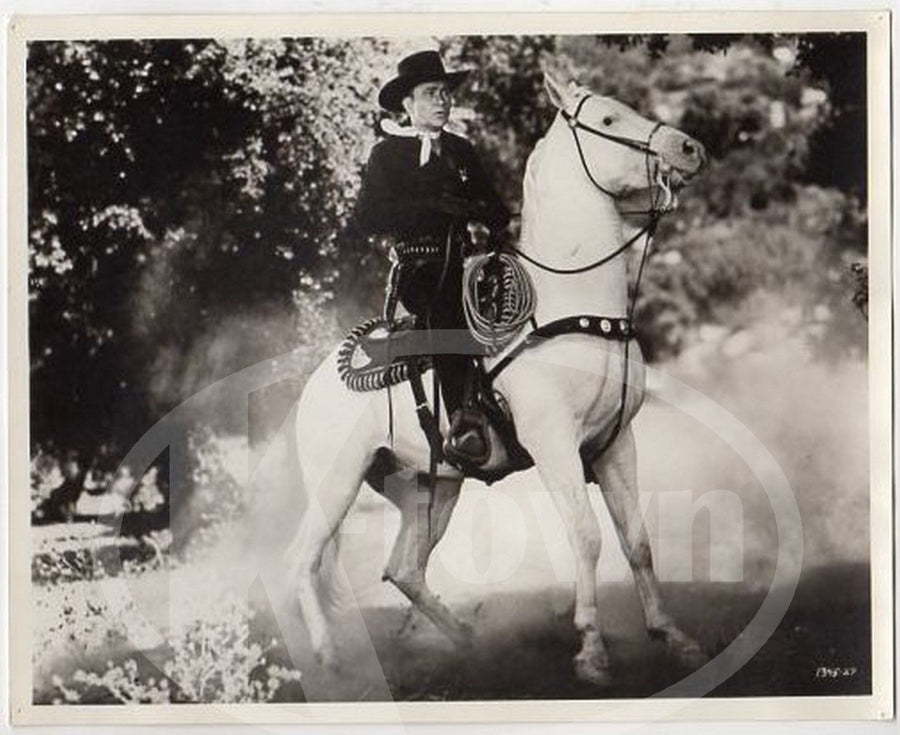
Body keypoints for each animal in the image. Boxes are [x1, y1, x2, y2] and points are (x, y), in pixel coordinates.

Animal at [284, 70, 708, 684]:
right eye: (607, 119)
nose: (689, 148)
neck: (570, 303)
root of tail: (316, 382)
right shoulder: (554, 444)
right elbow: (586, 536)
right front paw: (591, 650)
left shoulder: (616, 444)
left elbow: (638, 541)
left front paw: (673, 637)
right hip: (335, 482)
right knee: (302, 559)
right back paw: (328, 657)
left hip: (431, 486)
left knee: (402, 568)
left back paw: (463, 636)